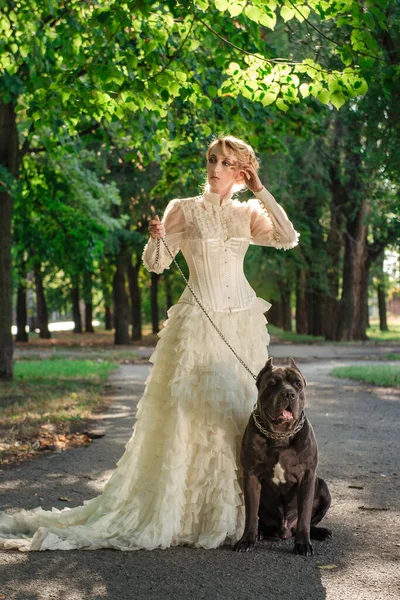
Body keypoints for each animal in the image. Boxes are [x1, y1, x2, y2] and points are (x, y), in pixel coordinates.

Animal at [234, 356, 332, 556]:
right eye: (272, 384)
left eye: (297, 384)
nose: (289, 394)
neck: (280, 435)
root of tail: (284, 530)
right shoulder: (251, 476)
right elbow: (251, 512)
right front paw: (247, 539)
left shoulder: (307, 477)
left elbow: (304, 515)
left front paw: (303, 544)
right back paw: (260, 533)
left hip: (323, 488)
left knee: (309, 521)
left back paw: (320, 532)